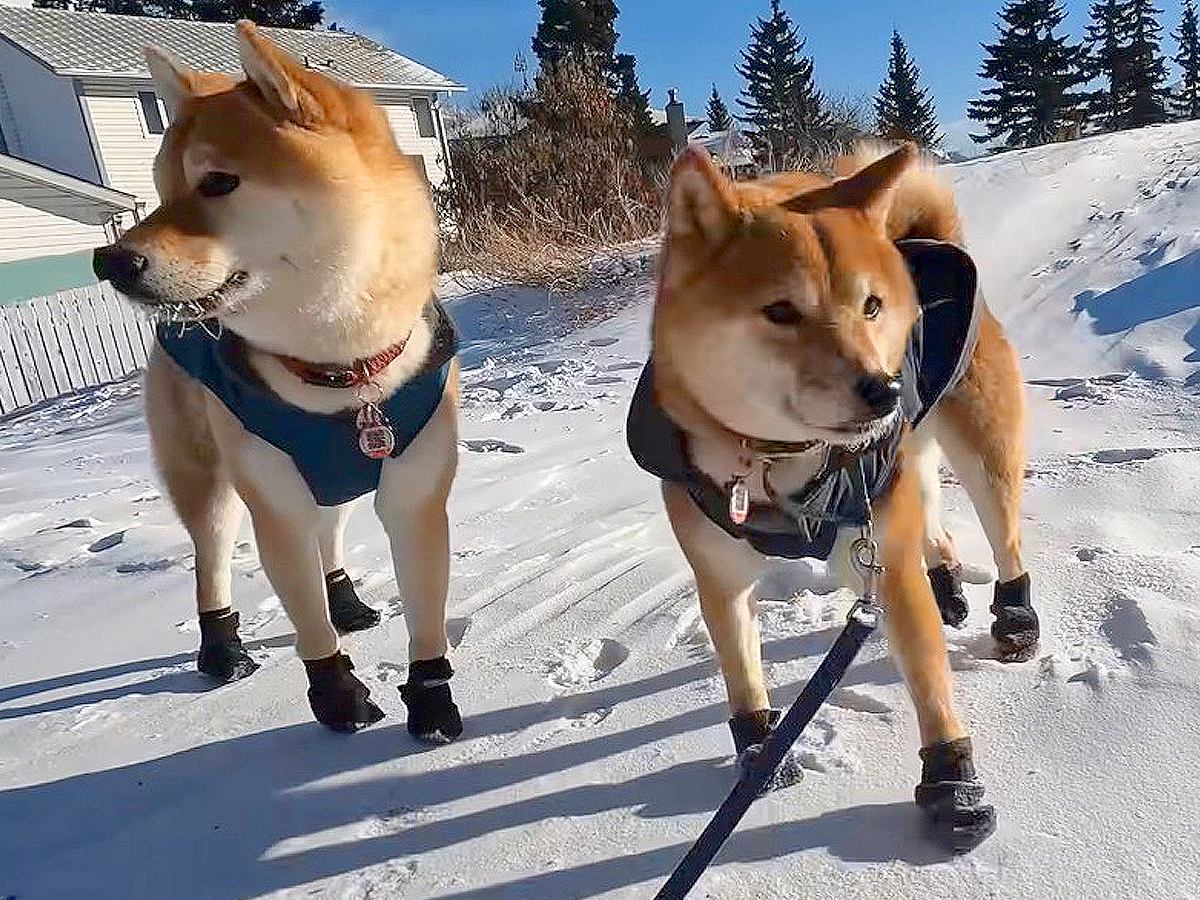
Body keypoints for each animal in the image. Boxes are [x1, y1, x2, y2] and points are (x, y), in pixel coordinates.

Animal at [88, 24, 460, 744]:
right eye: (159, 188)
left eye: (218, 182)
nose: (109, 261)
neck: (341, 368)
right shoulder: (274, 505)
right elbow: (308, 627)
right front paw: (338, 699)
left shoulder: (416, 492)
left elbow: (424, 616)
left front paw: (431, 705)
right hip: (210, 483)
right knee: (210, 561)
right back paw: (222, 649)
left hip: (332, 484)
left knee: (330, 534)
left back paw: (346, 599)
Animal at [628, 146, 1041, 854]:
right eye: (780, 311)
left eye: (870, 305)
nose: (884, 389)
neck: (776, 464)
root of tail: (924, 236)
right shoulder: (720, 577)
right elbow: (741, 673)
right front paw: (761, 756)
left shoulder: (884, 562)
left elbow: (930, 685)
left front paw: (952, 787)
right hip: (910, 459)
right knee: (935, 527)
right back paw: (948, 587)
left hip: (978, 449)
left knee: (1003, 535)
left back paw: (1013, 618)